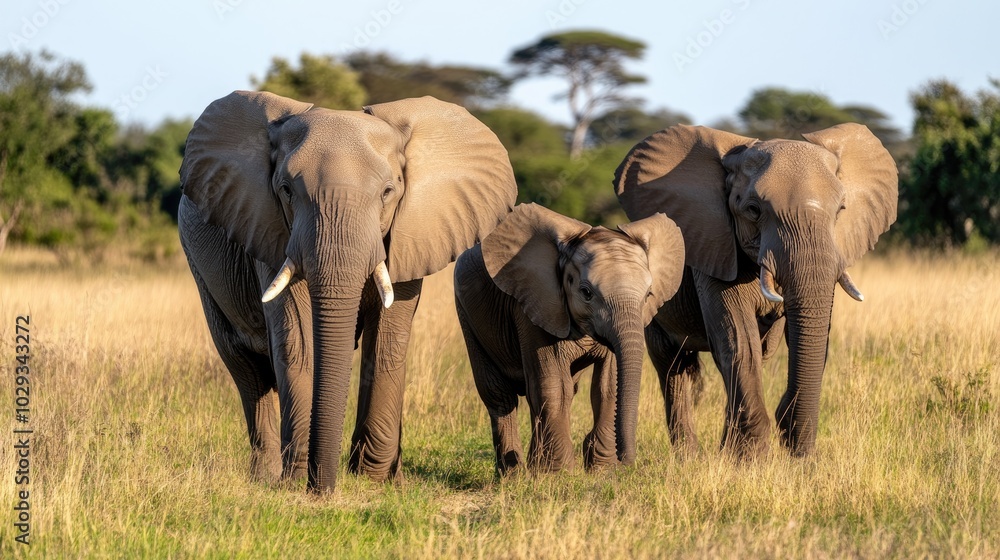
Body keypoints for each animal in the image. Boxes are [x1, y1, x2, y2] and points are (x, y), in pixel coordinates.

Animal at [178, 90, 517, 492]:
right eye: (286, 190)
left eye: (388, 192)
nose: (321, 489)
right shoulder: (269, 230)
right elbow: (299, 342)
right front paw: (296, 479)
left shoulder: (408, 235)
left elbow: (386, 340)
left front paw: (375, 479)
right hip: (199, 265)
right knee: (245, 368)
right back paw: (265, 475)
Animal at [454, 203, 685, 475]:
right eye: (586, 292)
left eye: (648, 294)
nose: (627, 460)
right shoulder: (535, 304)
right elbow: (554, 386)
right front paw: (560, 473)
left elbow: (606, 386)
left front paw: (603, 470)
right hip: (466, 313)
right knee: (499, 395)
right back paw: (513, 474)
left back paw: (534, 466)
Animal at [613, 123, 897, 458]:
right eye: (753, 209)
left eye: (840, 210)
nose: (795, 446)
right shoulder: (713, 245)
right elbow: (737, 339)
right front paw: (753, 459)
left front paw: (761, 455)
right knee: (671, 364)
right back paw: (688, 457)